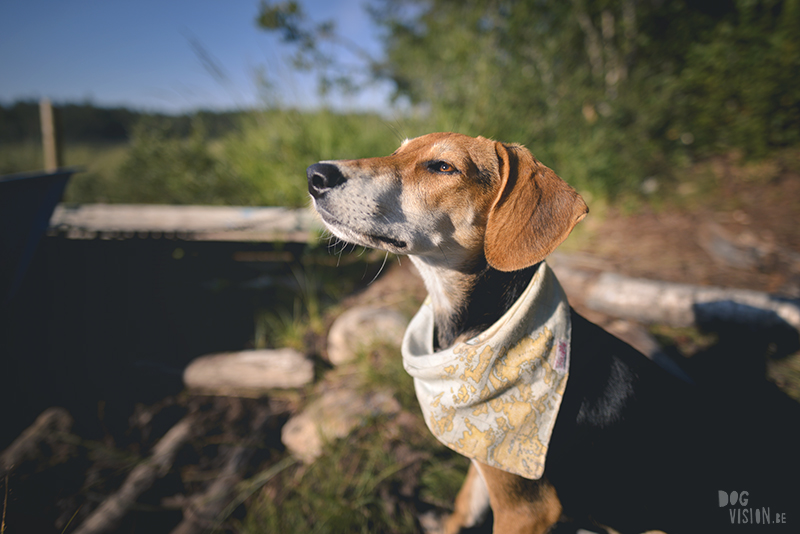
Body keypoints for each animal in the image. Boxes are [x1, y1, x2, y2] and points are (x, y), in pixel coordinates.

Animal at [306, 134, 800, 534]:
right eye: (398, 151)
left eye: (442, 167)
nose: (315, 174)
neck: (473, 333)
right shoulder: (485, 465)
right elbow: (460, 512)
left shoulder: (526, 508)